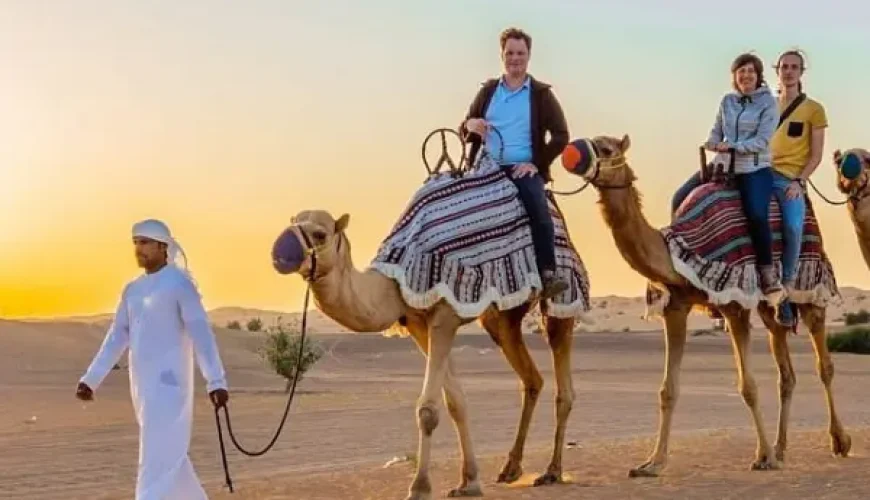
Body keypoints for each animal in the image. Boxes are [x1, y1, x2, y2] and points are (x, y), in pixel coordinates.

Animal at [269, 160, 589, 499]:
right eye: (293, 222)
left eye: (319, 234)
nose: (278, 253)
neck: (394, 278)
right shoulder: (418, 324)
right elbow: (456, 403)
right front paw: (469, 482)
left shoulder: (445, 314)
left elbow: (428, 410)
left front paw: (419, 487)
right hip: (502, 316)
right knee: (531, 378)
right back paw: (510, 468)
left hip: (564, 293)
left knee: (563, 384)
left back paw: (552, 471)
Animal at [560, 134, 851, 477]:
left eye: (606, 148)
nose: (572, 153)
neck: (679, 251)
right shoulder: (676, 306)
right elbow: (667, 390)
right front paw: (651, 463)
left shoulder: (734, 304)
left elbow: (748, 386)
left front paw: (763, 457)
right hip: (769, 309)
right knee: (786, 374)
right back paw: (781, 449)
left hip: (810, 285)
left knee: (824, 364)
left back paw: (838, 441)